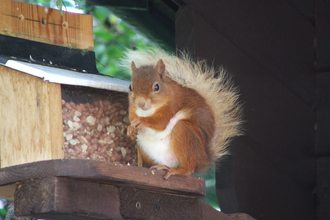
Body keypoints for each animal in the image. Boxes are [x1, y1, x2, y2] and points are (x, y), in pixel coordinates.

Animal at [124, 49, 242, 179]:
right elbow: (132, 118)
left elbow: (161, 122)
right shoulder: (132, 108)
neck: (148, 111)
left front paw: (141, 121)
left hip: (184, 133)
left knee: (188, 168)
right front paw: (130, 128)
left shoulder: (173, 105)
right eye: (130, 86)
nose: (140, 103)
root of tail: (202, 159)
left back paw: (174, 170)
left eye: (156, 87)